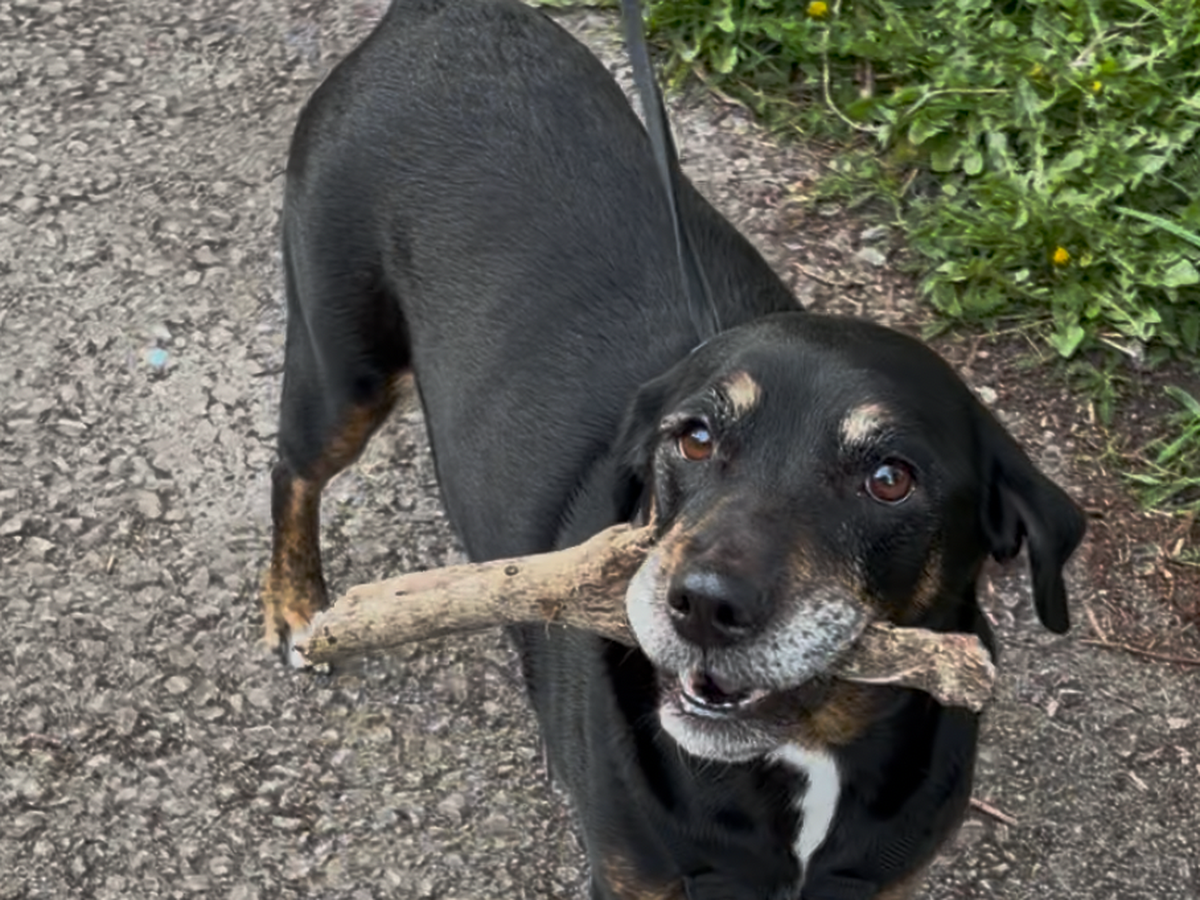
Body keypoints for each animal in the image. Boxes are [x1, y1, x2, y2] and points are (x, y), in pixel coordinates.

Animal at [263, 0, 1087, 896]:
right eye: (694, 437)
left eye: (890, 478)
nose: (704, 606)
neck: (805, 761)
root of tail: (434, 13)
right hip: (343, 367)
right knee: (292, 469)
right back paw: (298, 606)